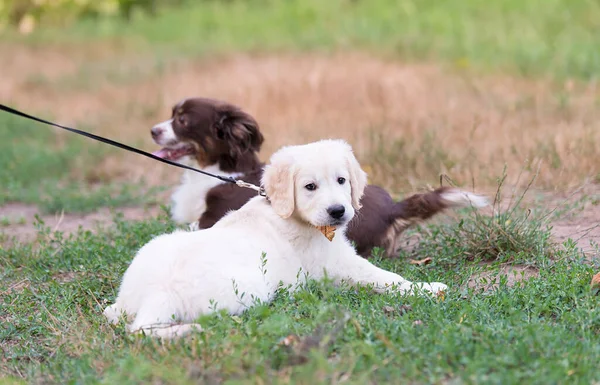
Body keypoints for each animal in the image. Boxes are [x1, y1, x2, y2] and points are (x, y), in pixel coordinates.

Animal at [105, 140, 448, 338]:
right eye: (310, 187)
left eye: (341, 180)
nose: (338, 211)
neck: (292, 215)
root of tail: (156, 291)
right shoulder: (339, 265)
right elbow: (386, 277)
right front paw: (427, 288)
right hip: (250, 289)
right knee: (142, 331)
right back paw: (191, 330)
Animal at [150, 97, 488, 256]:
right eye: (172, 115)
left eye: (182, 121)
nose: (153, 130)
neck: (221, 170)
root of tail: (393, 209)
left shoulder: (207, 221)